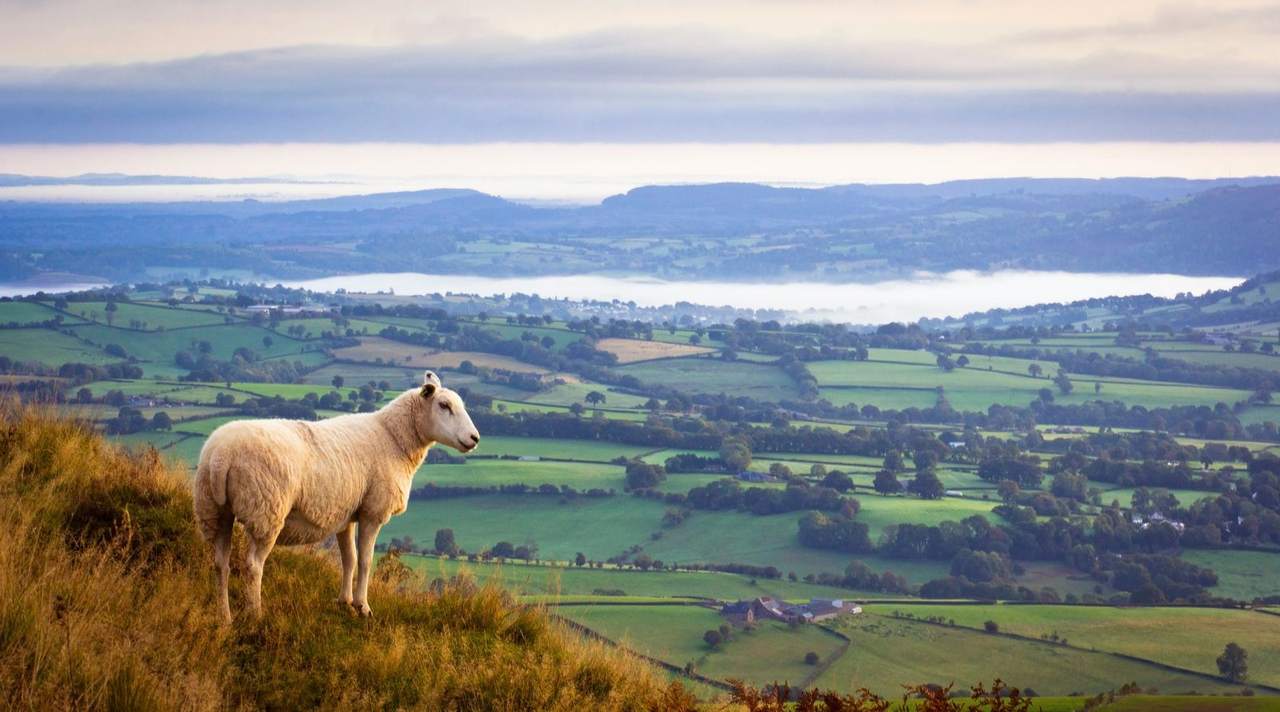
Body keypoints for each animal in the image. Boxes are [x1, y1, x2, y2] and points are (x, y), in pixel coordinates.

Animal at [193, 371, 480, 620]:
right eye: (444, 405)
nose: (475, 438)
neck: (394, 438)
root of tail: (220, 457)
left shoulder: (346, 514)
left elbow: (348, 559)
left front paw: (345, 602)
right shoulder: (372, 512)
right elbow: (365, 560)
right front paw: (363, 607)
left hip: (215, 510)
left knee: (220, 563)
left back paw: (224, 617)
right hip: (266, 510)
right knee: (252, 565)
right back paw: (256, 614)